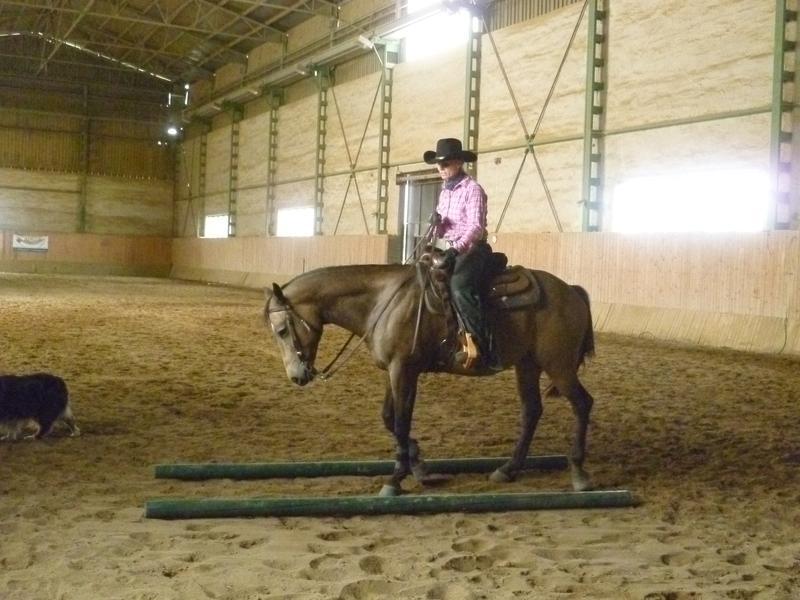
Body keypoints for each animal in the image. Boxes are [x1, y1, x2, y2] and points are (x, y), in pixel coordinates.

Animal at [263, 260, 596, 496]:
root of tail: (571, 291)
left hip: (559, 365)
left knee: (582, 404)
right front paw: (421, 468)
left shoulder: (403, 369)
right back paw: (508, 469)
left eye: (281, 330)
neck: (383, 302)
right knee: (531, 411)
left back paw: (579, 474)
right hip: (527, 364)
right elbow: (389, 418)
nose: (296, 377)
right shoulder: (393, 370)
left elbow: (401, 422)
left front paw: (395, 480)